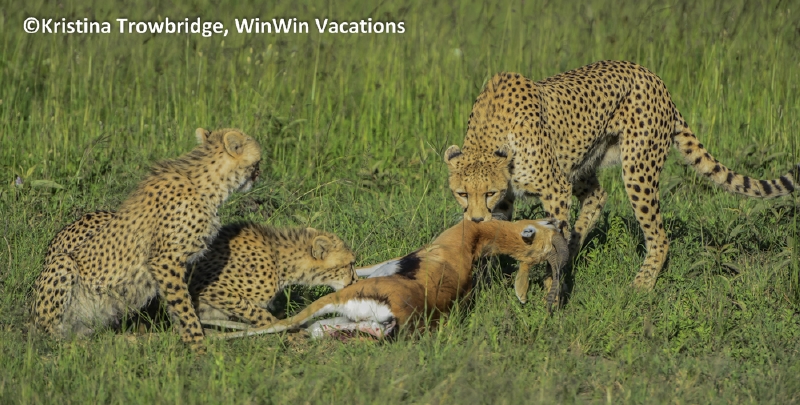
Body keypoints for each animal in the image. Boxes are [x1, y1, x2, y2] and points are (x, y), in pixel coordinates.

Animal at [33, 127, 262, 350]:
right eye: (257, 161)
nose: (260, 174)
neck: (207, 184)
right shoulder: (165, 261)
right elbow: (184, 306)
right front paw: (198, 343)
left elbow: (179, 305)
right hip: (63, 266)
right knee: (54, 336)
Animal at [444, 60, 800, 291]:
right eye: (462, 194)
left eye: (488, 192)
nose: (475, 218)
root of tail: (654, 77)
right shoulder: (513, 198)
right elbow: (495, 238)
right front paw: (483, 284)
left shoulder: (554, 188)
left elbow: (551, 239)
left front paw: (549, 286)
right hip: (583, 160)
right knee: (597, 196)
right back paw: (575, 248)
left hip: (638, 169)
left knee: (659, 235)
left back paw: (641, 285)